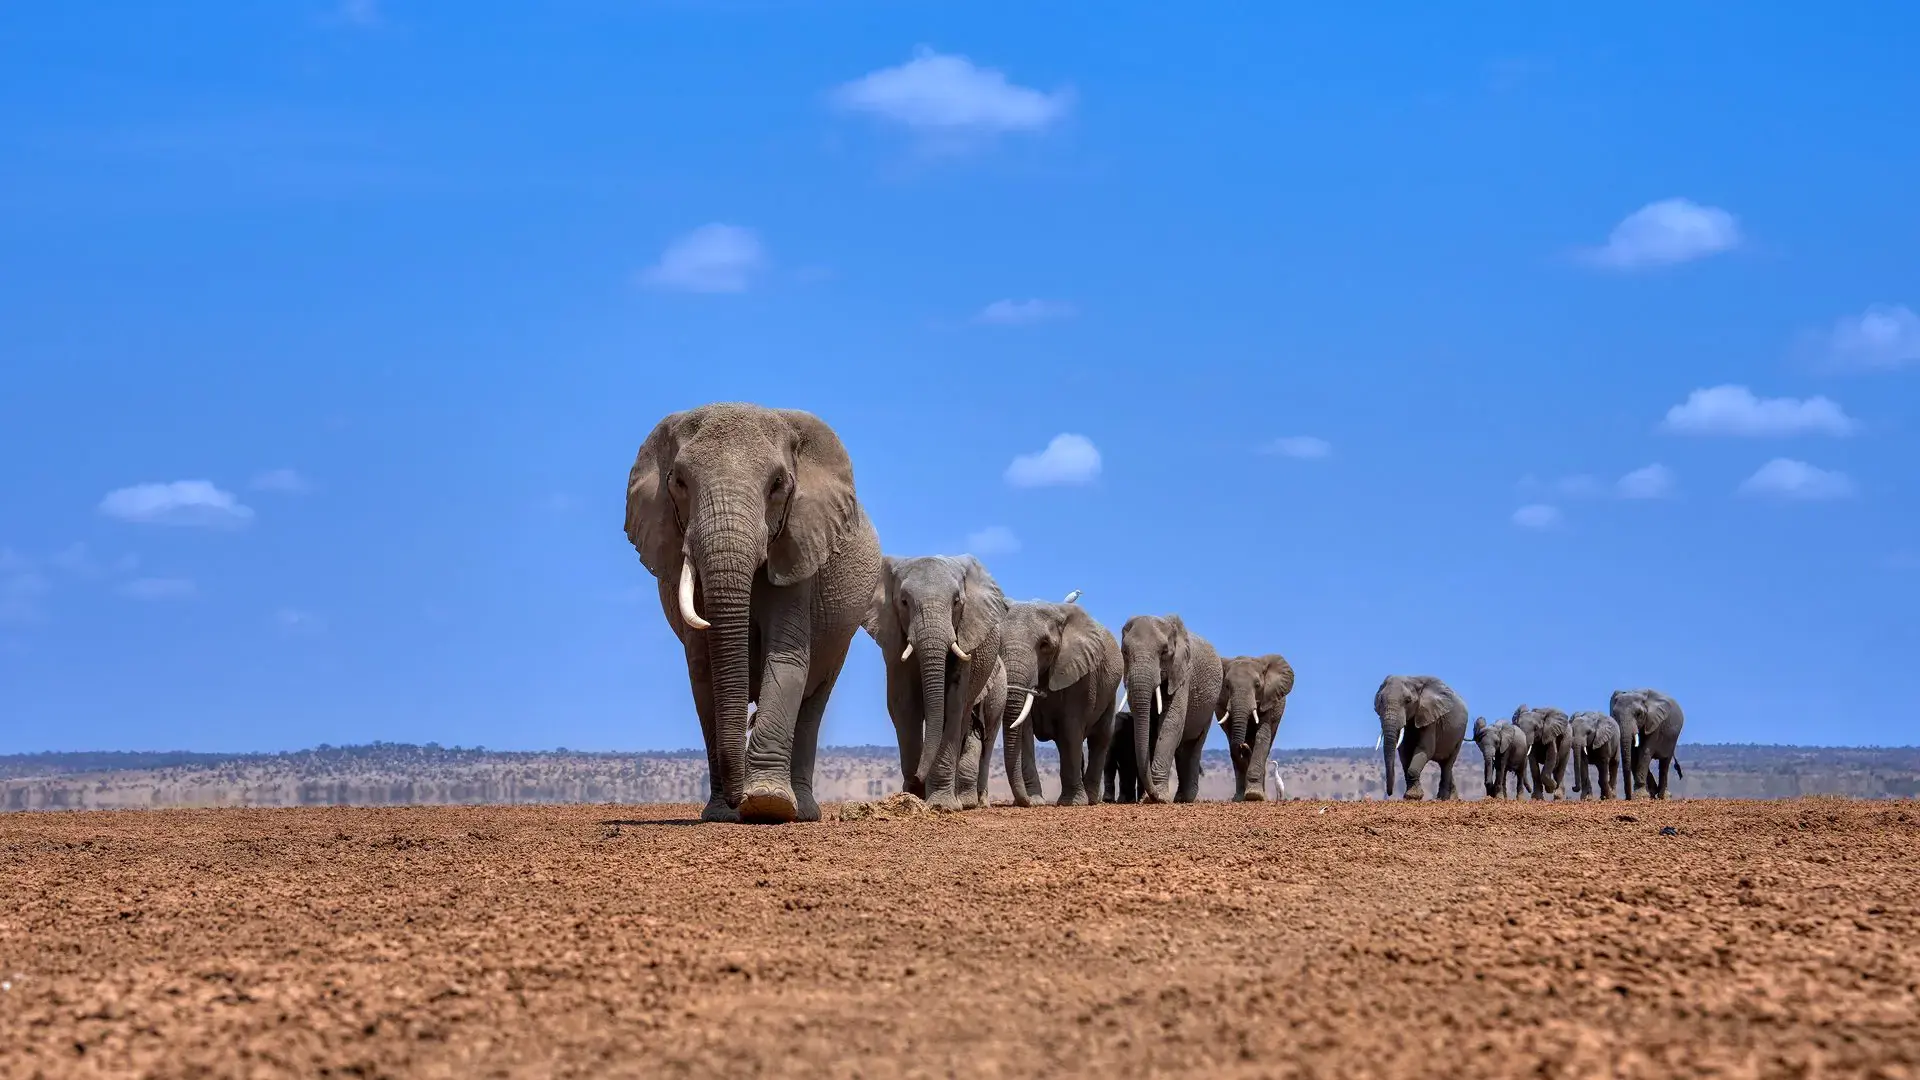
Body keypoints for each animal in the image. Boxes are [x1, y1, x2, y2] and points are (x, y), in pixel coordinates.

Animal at [624, 403, 881, 824]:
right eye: (678, 481)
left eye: (777, 484)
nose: (735, 800)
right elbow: (704, 671)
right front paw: (722, 814)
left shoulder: (800, 548)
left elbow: (787, 659)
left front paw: (766, 804)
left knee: (814, 700)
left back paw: (802, 811)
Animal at [862, 555, 1009, 812]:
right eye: (904, 602)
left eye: (957, 602)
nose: (917, 778)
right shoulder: (893, 641)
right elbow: (904, 705)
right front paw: (914, 796)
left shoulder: (965, 638)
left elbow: (952, 705)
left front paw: (942, 805)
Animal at [998, 600, 1123, 805]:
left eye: (1045, 645)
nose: (1025, 801)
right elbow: (1024, 731)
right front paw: (1036, 801)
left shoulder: (1081, 677)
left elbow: (1070, 731)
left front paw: (1072, 803)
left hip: (1110, 690)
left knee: (1101, 737)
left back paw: (1091, 799)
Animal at [1122, 615, 1223, 803]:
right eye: (1124, 651)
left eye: (1164, 652)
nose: (1153, 795)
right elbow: (1150, 729)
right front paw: (1150, 798)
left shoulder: (1183, 674)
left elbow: (1171, 722)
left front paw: (1158, 797)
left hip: (1208, 708)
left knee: (1193, 745)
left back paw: (1186, 798)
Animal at [1216, 654, 1295, 801]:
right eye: (1227, 686)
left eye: (1257, 685)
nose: (1244, 746)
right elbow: (1231, 738)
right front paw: (1243, 797)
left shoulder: (1268, 699)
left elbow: (1262, 736)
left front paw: (1255, 795)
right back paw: (1239, 797)